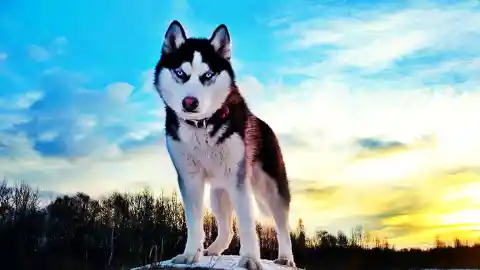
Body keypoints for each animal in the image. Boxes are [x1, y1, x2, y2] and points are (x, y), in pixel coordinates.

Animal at [154, 20, 296, 268]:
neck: (201, 126)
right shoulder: (189, 178)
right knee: (227, 229)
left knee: (282, 225)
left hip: (269, 188)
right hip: (219, 193)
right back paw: (213, 249)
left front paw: (250, 259)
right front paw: (190, 254)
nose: (189, 102)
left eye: (208, 74)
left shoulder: (238, 179)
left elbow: (247, 224)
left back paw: (286, 257)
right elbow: (194, 222)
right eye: (180, 73)